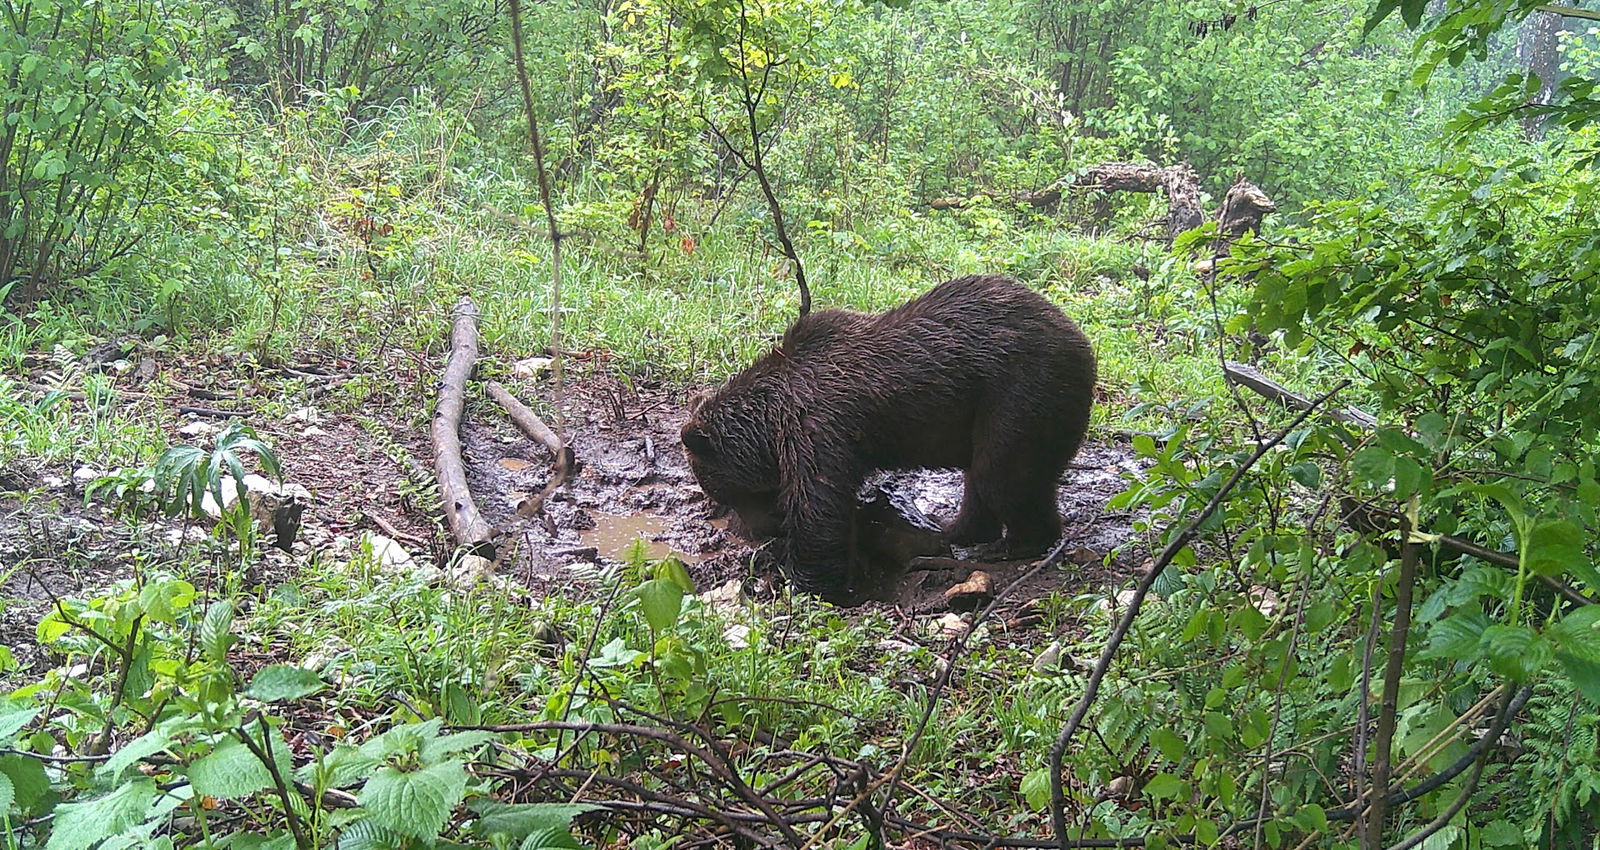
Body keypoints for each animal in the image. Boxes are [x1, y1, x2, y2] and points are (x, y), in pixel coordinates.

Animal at [681, 275, 1094, 601]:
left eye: (720, 490)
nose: (755, 530)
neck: (770, 419)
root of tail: (1081, 338)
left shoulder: (819, 426)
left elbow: (820, 508)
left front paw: (806, 583)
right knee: (981, 476)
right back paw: (956, 528)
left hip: (1020, 392)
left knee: (1003, 476)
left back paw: (1015, 543)